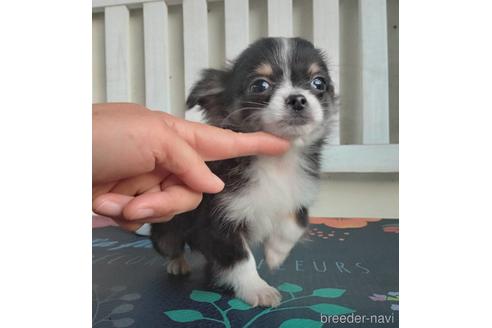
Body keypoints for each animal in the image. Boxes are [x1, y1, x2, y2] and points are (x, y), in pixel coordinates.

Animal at [151, 38, 334, 308]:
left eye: (318, 83)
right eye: (260, 85)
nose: (298, 99)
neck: (277, 161)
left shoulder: (300, 194)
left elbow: (297, 222)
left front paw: (276, 253)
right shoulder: (219, 221)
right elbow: (241, 259)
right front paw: (258, 289)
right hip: (167, 231)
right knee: (169, 245)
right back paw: (177, 263)